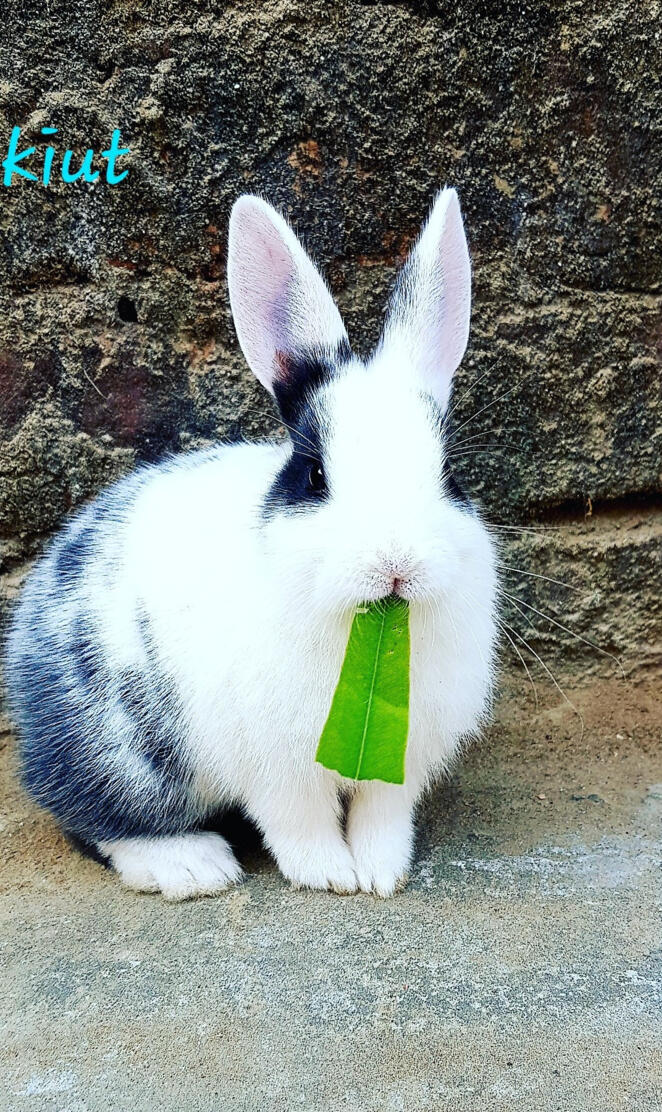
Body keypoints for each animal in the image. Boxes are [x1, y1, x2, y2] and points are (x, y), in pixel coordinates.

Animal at [3, 187, 498, 900]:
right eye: (314, 475)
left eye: (449, 474)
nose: (395, 564)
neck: (371, 630)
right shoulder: (274, 766)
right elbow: (297, 822)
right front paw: (330, 877)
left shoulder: (397, 764)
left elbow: (382, 817)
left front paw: (382, 875)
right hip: (118, 753)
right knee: (91, 819)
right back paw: (192, 866)